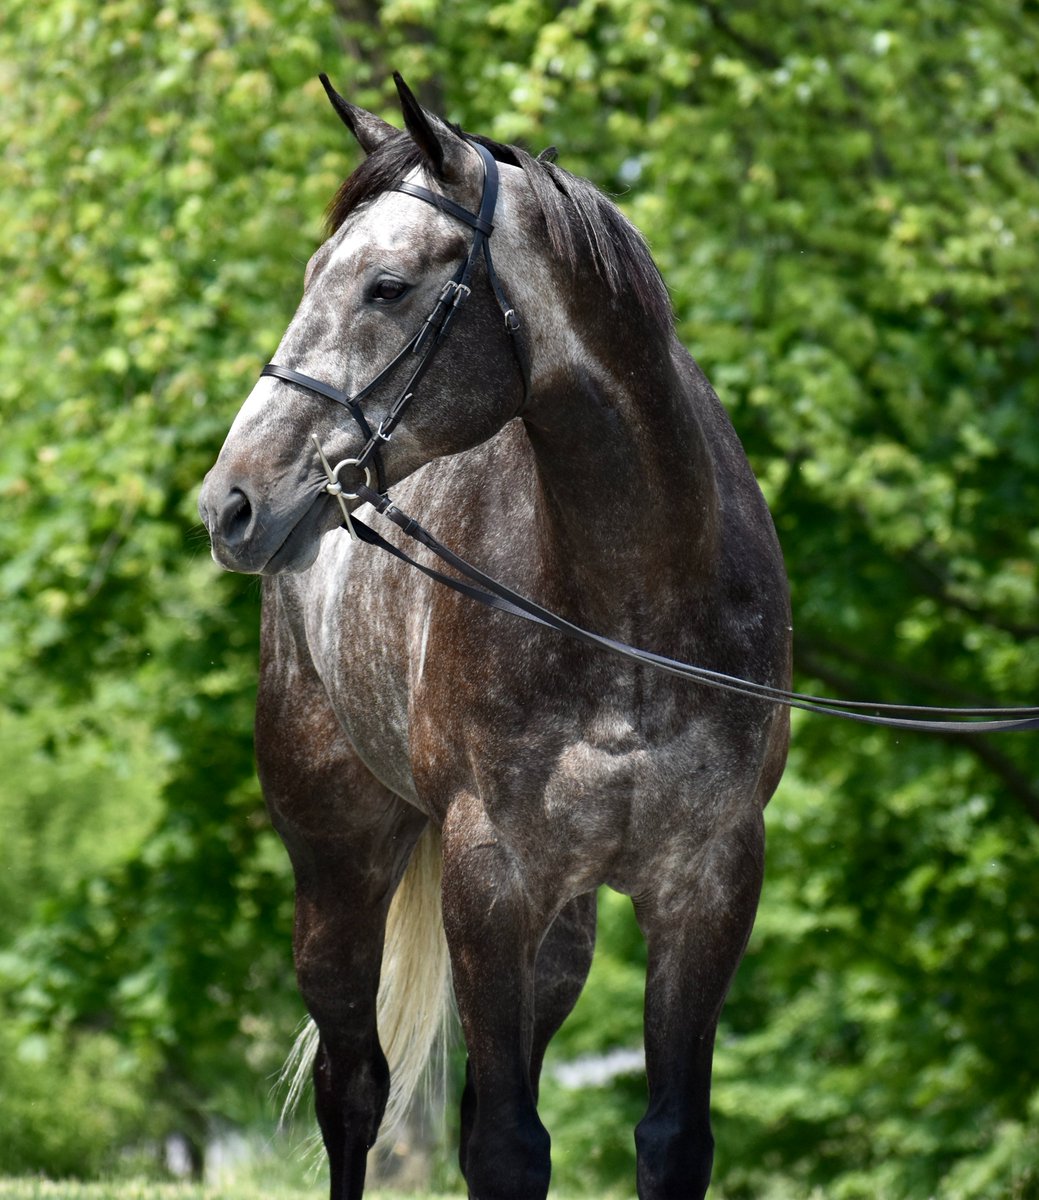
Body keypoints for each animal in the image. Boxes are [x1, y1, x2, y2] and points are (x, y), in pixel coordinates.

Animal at [197, 75, 791, 1200]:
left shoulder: (706, 884)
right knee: (355, 1090)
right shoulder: (490, 879)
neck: (633, 599)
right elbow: (507, 1147)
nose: (231, 503)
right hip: (336, 871)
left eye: (386, 286)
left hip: (562, 932)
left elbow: (667, 1139)